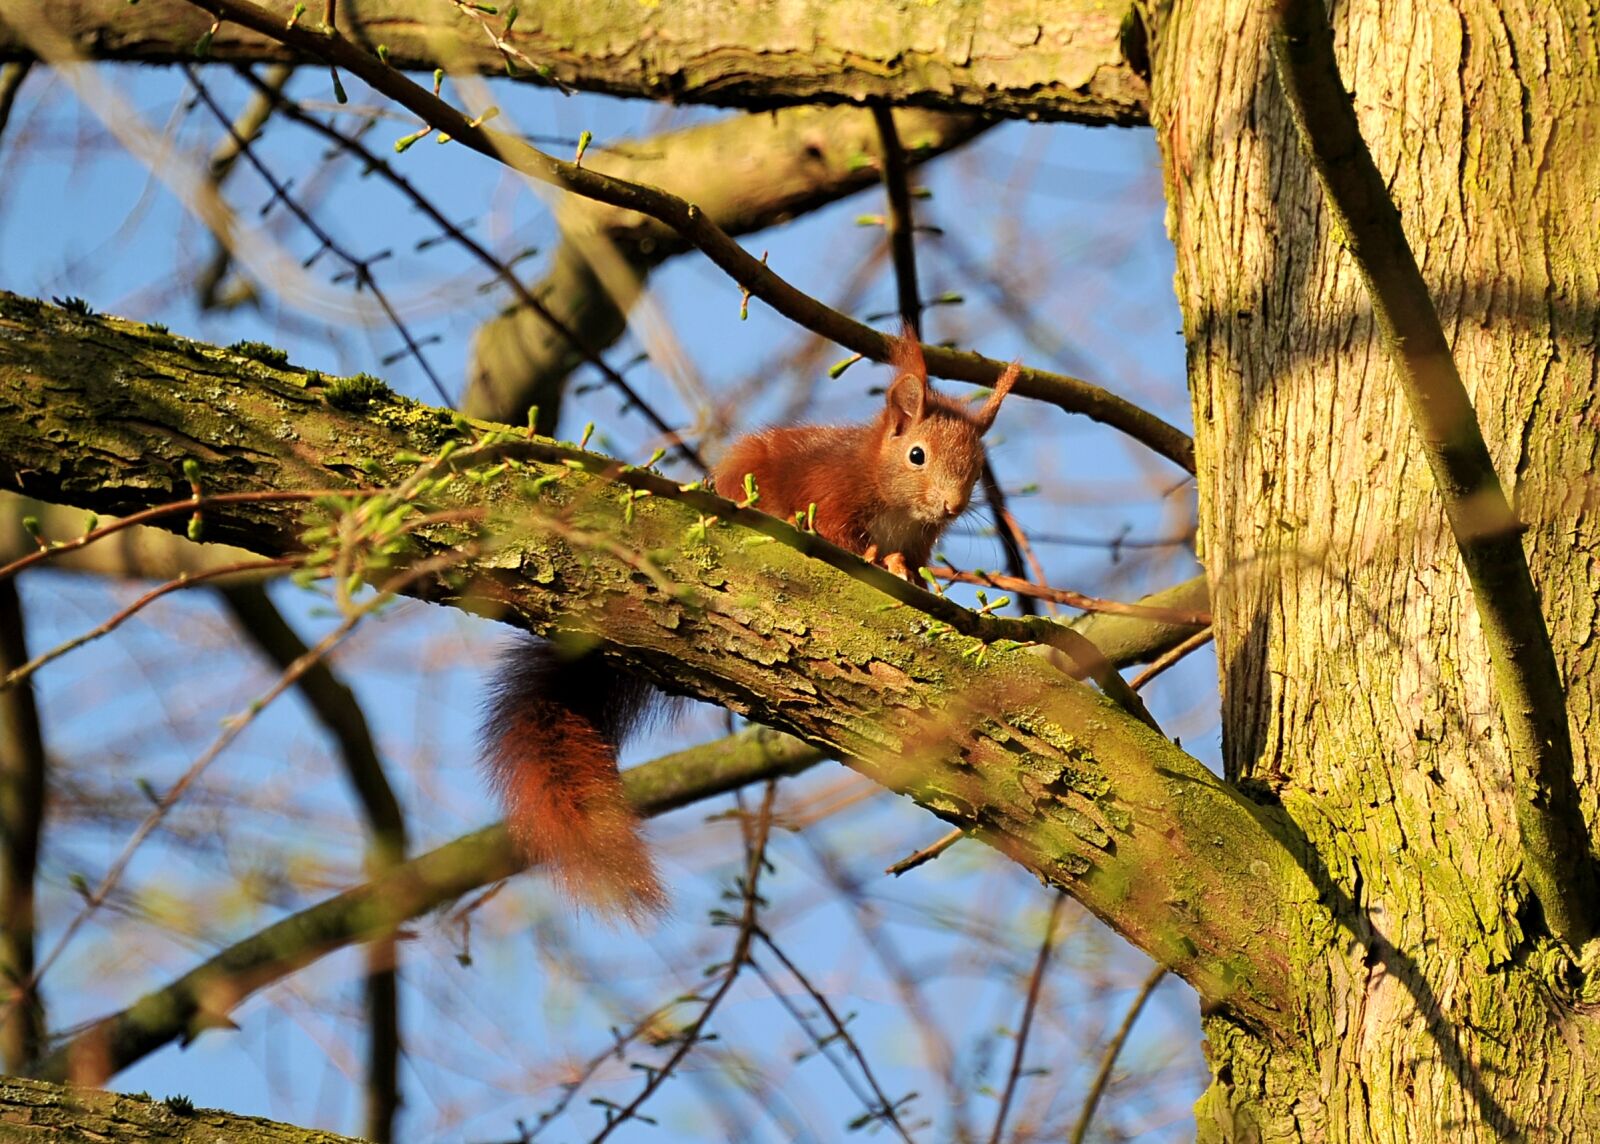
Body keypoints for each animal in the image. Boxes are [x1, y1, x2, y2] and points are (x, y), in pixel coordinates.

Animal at [480, 331, 1017, 921]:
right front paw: (877, 559)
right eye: (917, 455)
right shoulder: (832, 491)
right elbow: (839, 533)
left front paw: (907, 573)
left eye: (979, 465)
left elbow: (913, 563)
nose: (951, 505)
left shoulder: (919, 540)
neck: (894, 499)